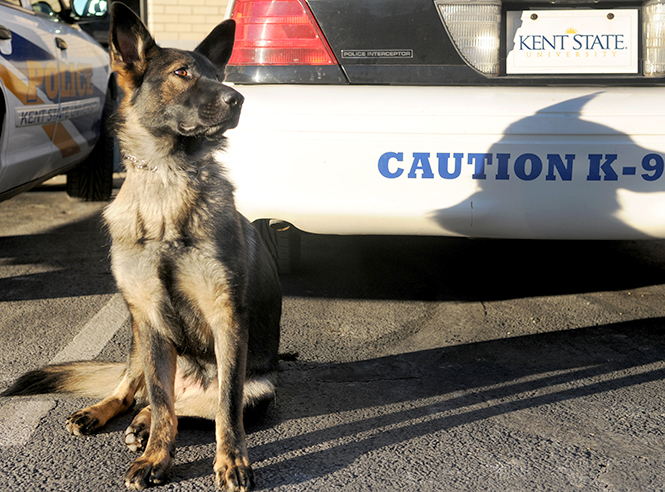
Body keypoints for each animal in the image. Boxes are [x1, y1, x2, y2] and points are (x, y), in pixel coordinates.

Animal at [1, 2, 280, 488]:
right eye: (182, 73)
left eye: (217, 74)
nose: (238, 99)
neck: (167, 180)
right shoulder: (148, 316)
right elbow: (162, 402)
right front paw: (155, 458)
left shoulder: (227, 321)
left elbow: (225, 410)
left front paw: (231, 462)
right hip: (138, 337)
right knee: (139, 391)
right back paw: (106, 415)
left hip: (258, 389)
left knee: (192, 408)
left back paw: (142, 424)